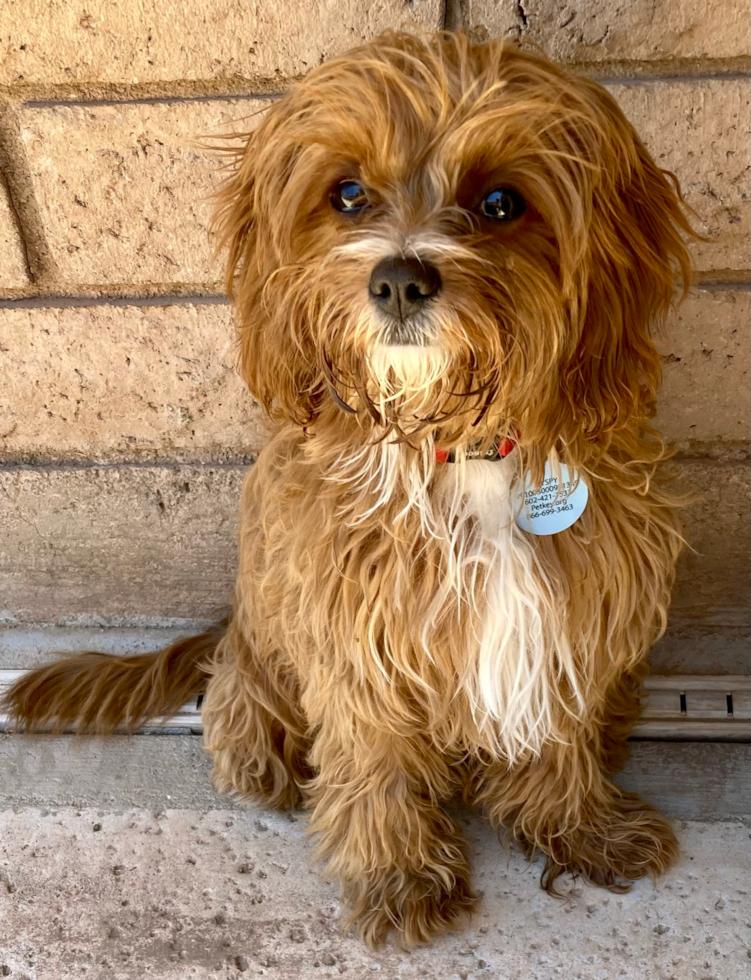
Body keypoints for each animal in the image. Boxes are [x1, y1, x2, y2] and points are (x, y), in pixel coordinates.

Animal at [1, 30, 692, 948]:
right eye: (350, 193)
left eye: (501, 201)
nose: (398, 279)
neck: (453, 446)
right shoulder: (355, 639)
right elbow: (375, 763)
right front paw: (397, 873)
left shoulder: (570, 614)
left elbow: (557, 734)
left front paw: (580, 826)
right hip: (260, 666)